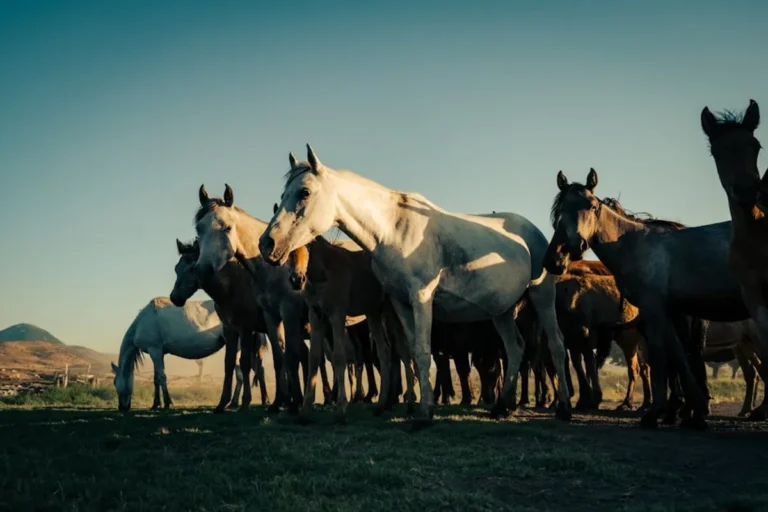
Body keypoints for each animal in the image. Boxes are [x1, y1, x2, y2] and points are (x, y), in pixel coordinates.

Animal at [259, 146, 572, 424]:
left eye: (304, 192)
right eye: (283, 194)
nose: (267, 244)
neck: (393, 230)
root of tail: (531, 231)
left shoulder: (421, 298)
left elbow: (421, 351)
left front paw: (423, 415)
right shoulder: (400, 303)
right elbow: (410, 351)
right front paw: (423, 405)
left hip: (542, 296)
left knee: (556, 345)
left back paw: (564, 409)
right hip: (501, 311)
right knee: (515, 348)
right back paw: (502, 407)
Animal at [543, 168, 753, 429]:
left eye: (592, 206)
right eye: (559, 210)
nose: (562, 254)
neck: (636, 246)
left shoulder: (654, 310)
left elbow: (661, 356)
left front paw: (657, 413)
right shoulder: (668, 312)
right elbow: (678, 357)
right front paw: (693, 411)